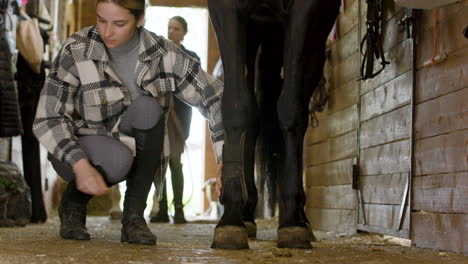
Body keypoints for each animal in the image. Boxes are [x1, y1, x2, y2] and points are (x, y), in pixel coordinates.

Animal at [208, 0, 340, 250]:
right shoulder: (226, 8)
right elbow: (236, 105)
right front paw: (230, 221)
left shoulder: (306, 11)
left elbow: (290, 109)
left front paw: (292, 224)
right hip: (257, 35)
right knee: (254, 114)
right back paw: (246, 215)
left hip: (306, 41)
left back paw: (300, 218)